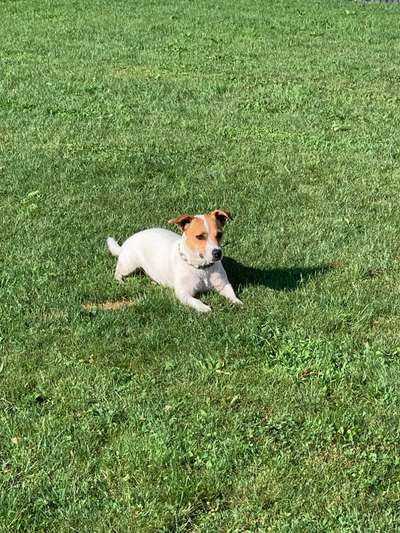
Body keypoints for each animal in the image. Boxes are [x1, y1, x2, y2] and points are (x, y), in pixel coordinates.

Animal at [106, 210, 242, 312]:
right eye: (200, 237)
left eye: (219, 234)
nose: (217, 253)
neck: (202, 268)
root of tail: (124, 244)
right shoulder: (183, 293)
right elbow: (195, 301)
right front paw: (204, 307)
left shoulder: (223, 285)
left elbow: (232, 293)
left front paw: (237, 302)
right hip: (129, 264)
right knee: (118, 271)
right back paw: (120, 281)